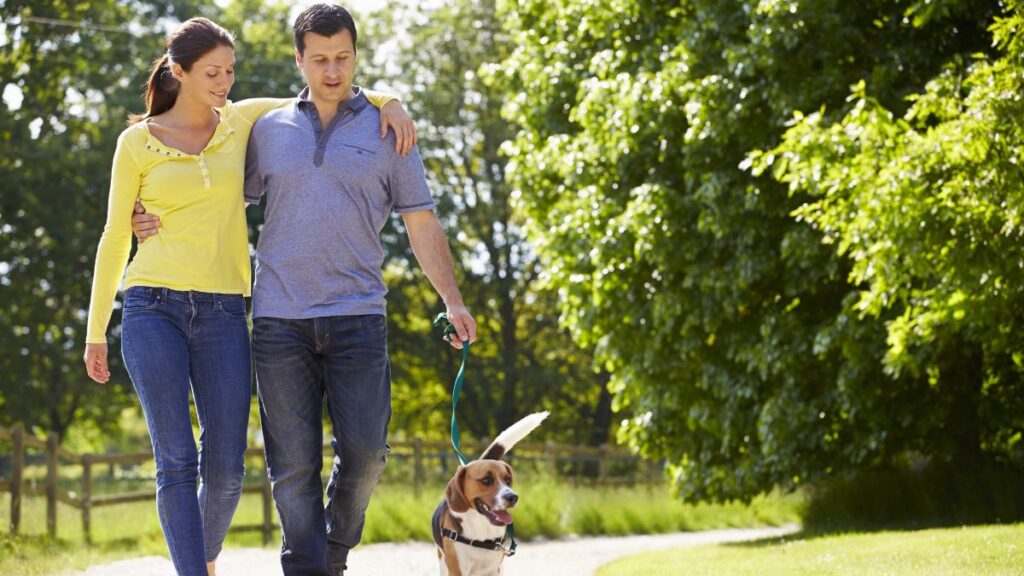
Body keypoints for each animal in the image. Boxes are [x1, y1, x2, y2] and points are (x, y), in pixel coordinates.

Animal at [432, 409, 548, 569]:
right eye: (486, 480)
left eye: (508, 480)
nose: (513, 497)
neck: (481, 529)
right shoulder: (457, 568)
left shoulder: (494, 569)